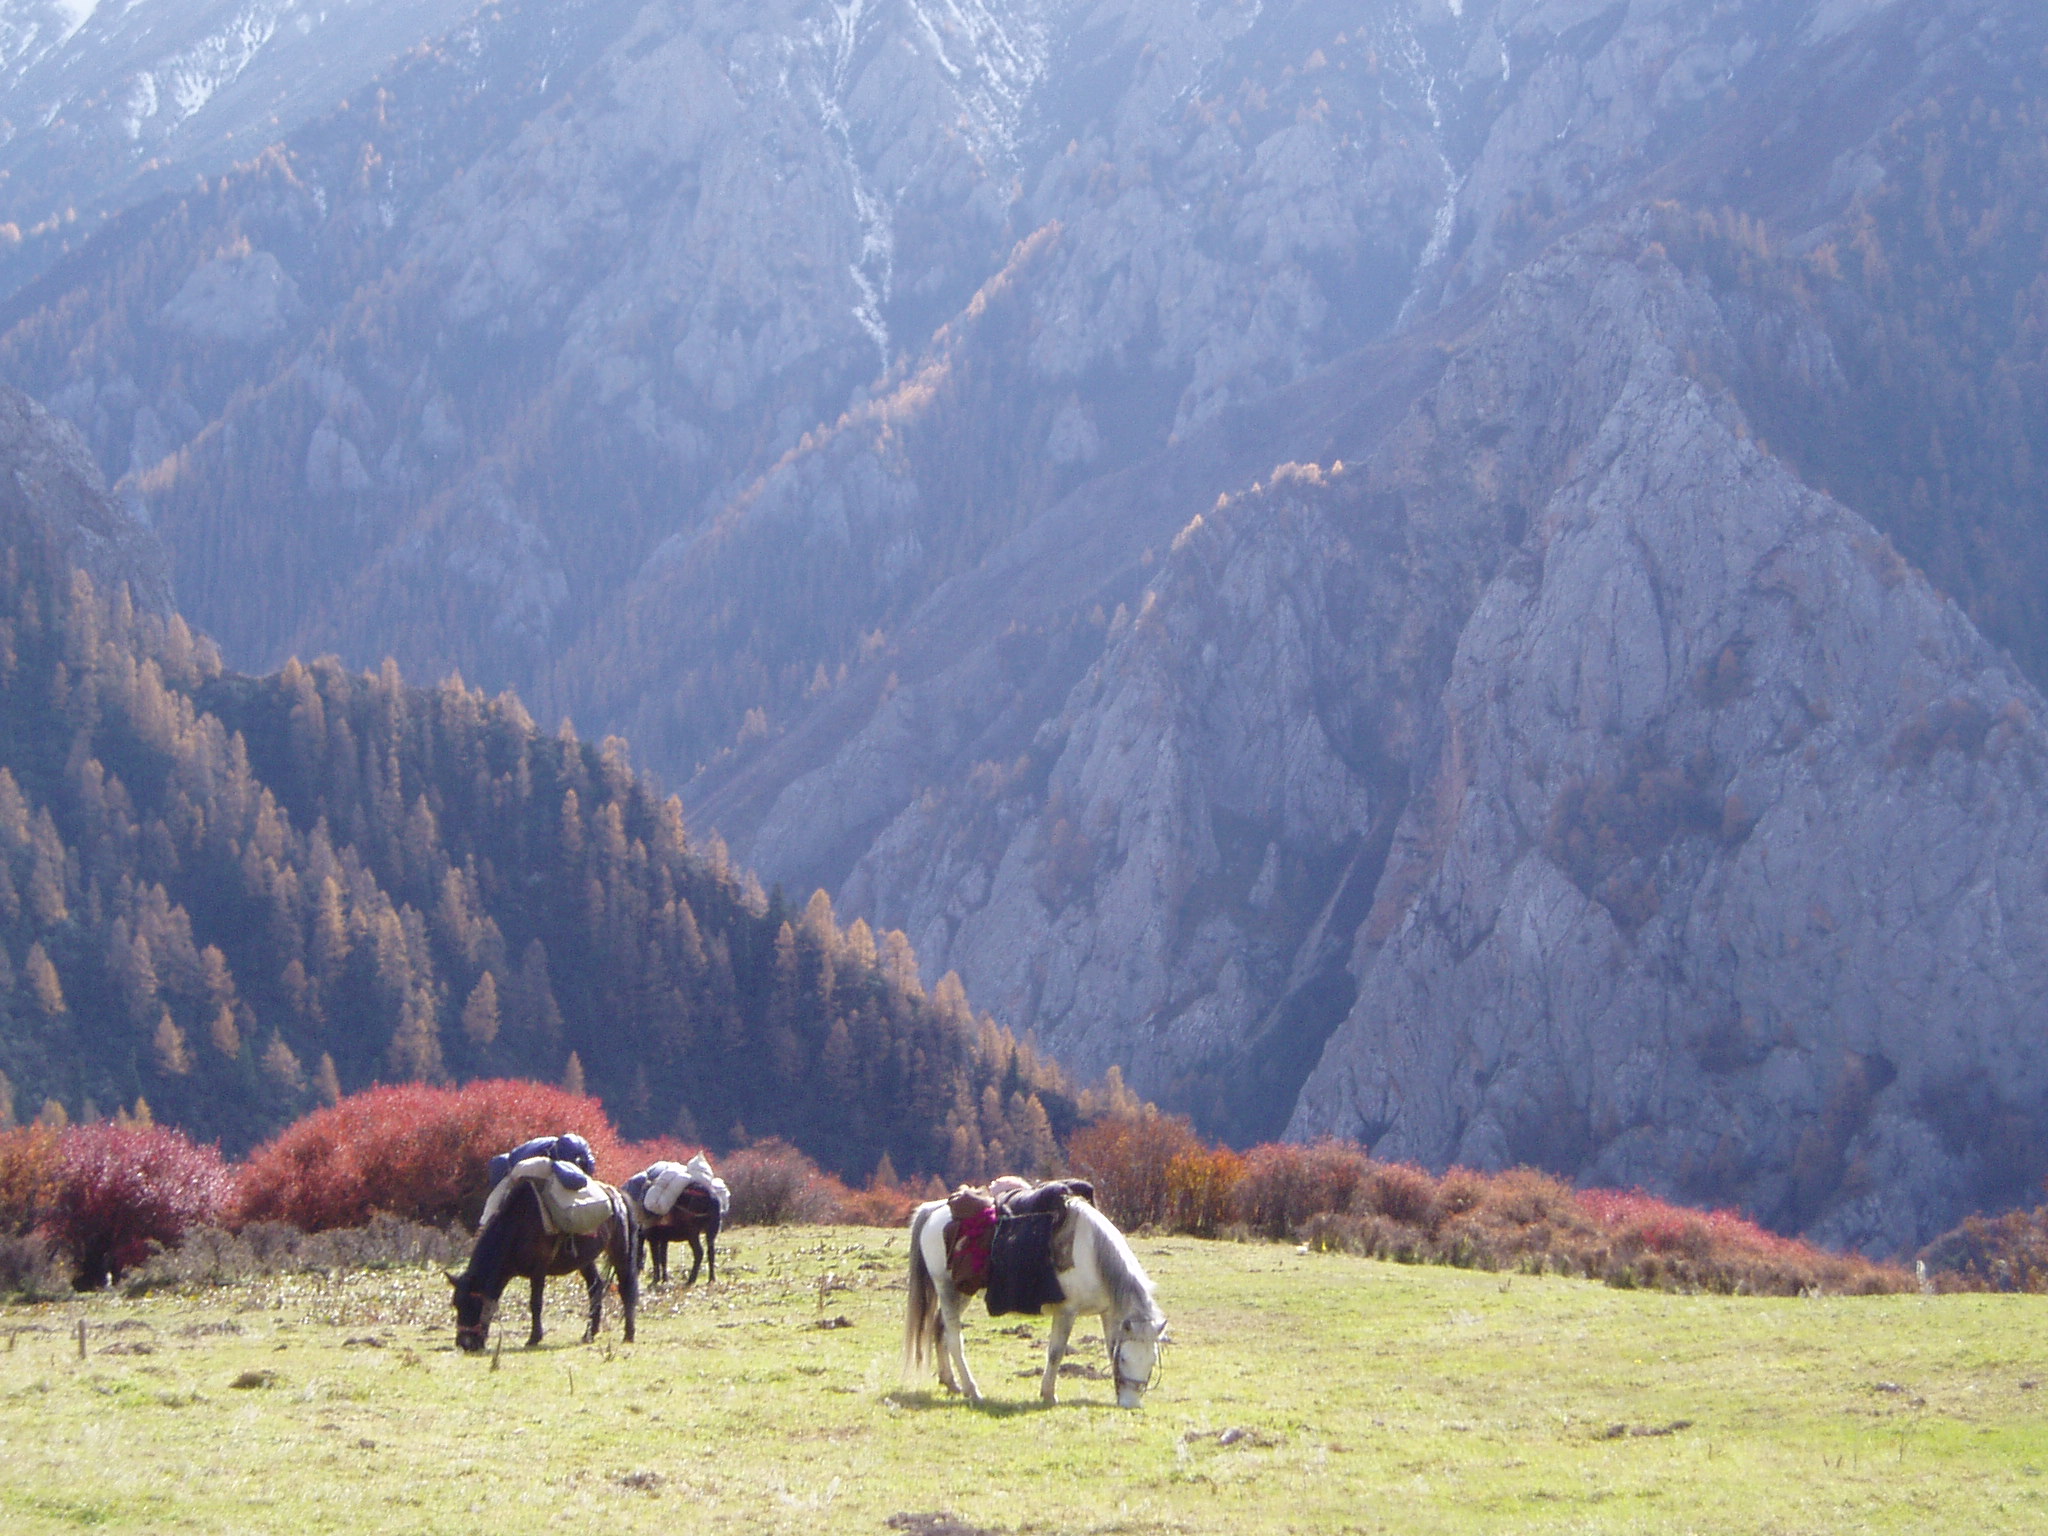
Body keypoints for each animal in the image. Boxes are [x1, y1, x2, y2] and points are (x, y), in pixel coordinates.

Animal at [450, 1179, 634, 1343]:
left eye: (473, 1304)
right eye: (456, 1304)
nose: (464, 1343)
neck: (517, 1227)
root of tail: (618, 1194)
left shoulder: (538, 1271)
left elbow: (535, 1303)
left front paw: (534, 1337)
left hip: (620, 1252)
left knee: (626, 1288)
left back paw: (628, 1334)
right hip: (585, 1261)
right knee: (595, 1287)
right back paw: (589, 1334)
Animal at [901, 1196, 1171, 1417]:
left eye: (1151, 1360)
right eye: (1125, 1359)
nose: (1130, 1404)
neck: (1094, 1255)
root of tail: (934, 1210)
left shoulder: (1108, 1313)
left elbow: (1108, 1346)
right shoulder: (1066, 1311)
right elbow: (1056, 1352)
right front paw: (1049, 1395)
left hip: (961, 1293)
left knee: (939, 1329)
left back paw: (951, 1383)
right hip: (947, 1289)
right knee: (954, 1339)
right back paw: (972, 1390)